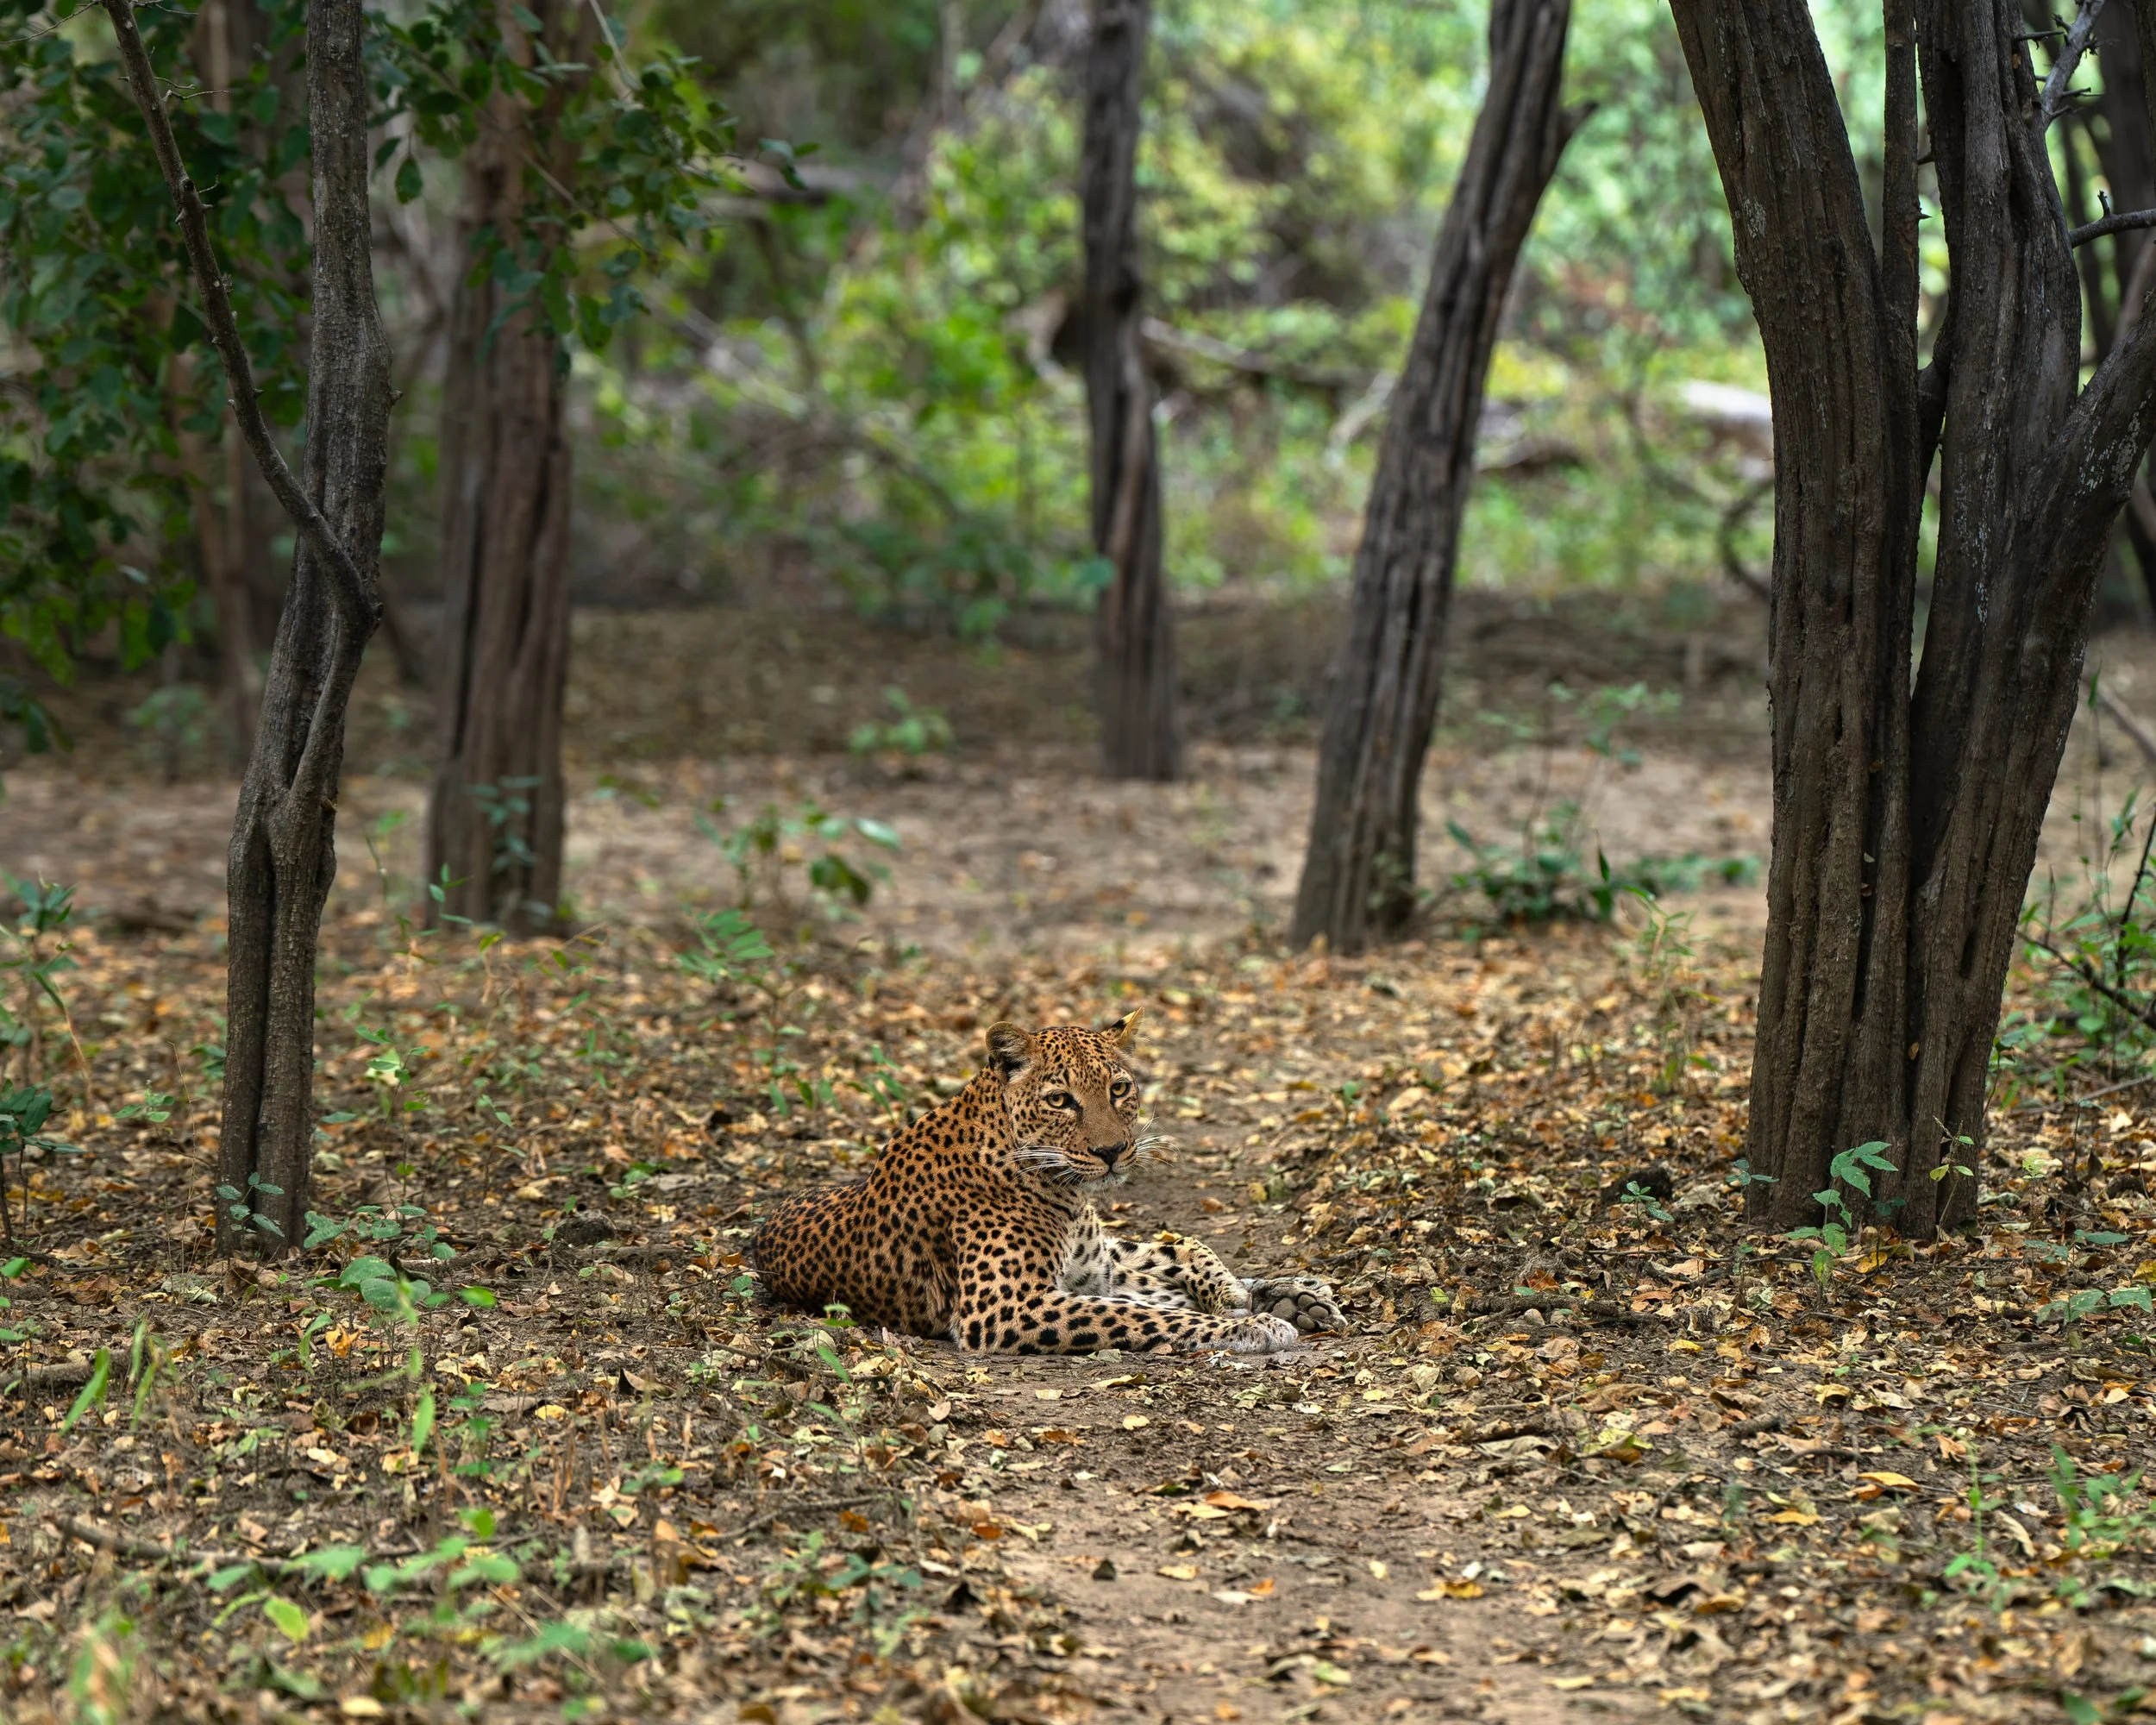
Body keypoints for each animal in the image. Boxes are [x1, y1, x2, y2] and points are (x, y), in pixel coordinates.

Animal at [751, 1011, 1344, 1354]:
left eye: (1119, 1088)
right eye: (1060, 1100)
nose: (1112, 1152)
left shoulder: (1094, 1270)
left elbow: (1182, 1252)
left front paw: (1250, 1298)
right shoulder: (1007, 1306)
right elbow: (1142, 1314)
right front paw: (1251, 1326)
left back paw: (1302, 1293)